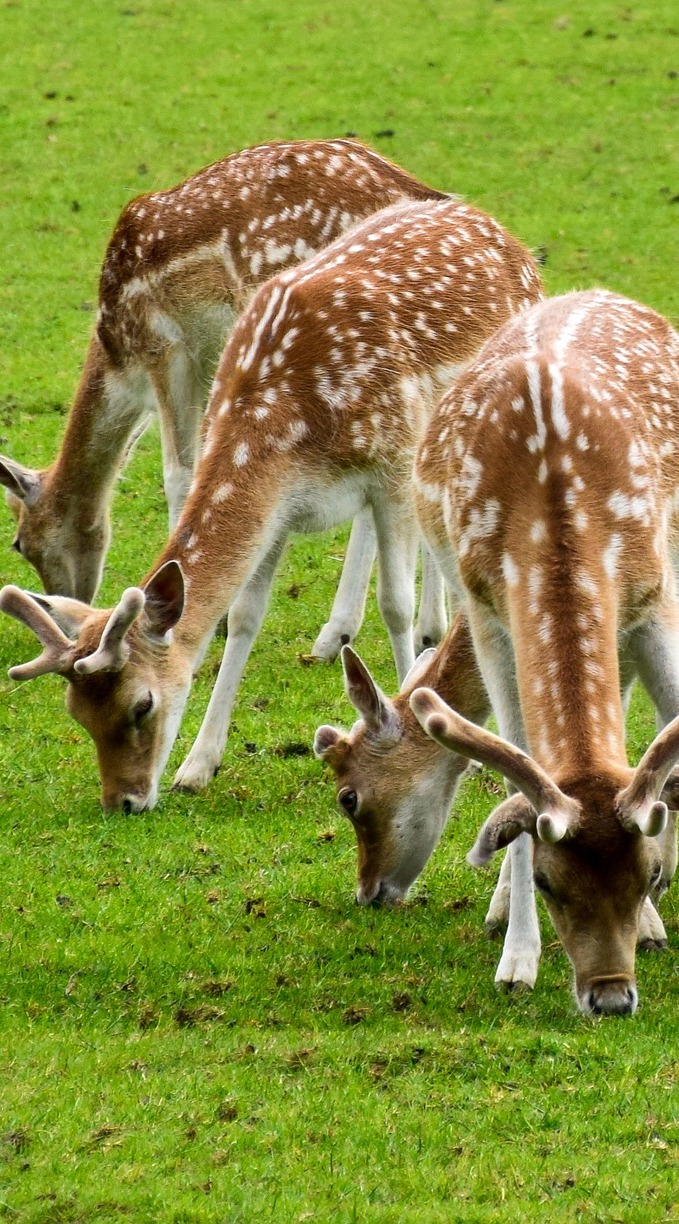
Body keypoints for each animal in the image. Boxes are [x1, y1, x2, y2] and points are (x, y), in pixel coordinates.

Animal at [0, 195, 545, 807]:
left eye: (141, 704)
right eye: (77, 714)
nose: (125, 801)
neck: (286, 422)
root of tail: (510, 240)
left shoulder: (392, 465)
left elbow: (395, 604)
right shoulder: (280, 508)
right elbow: (243, 614)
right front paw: (198, 764)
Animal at [1, 136, 457, 660]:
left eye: (19, 543)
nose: (61, 603)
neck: (119, 362)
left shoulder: (166, 347)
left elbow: (181, 473)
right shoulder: (208, 365)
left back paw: (350, 632)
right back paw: (409, 631)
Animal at [315, 286, 679, 1013]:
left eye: (349, 797)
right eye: (549, 882)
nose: (369, 892)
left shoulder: (651, 597)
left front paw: (655, 912)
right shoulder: (490, 613)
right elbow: (525, 764)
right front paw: (517, 957)